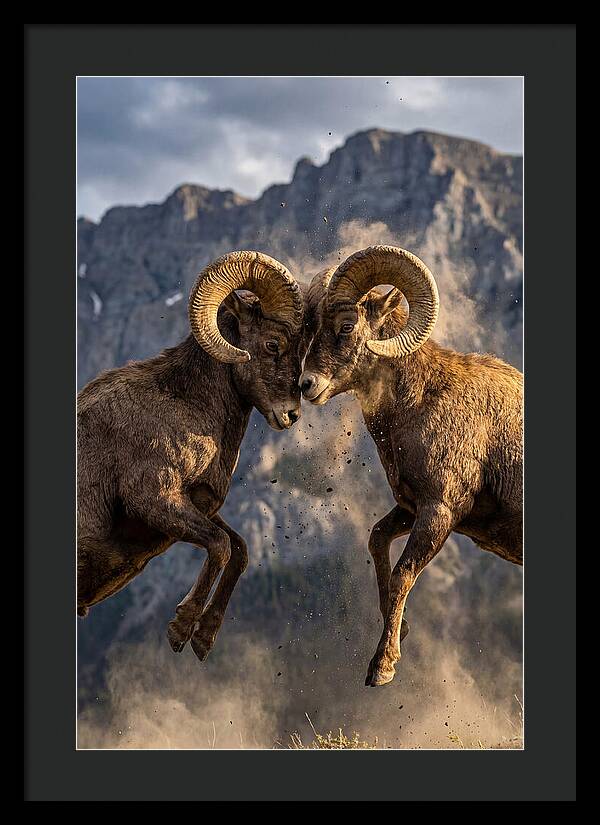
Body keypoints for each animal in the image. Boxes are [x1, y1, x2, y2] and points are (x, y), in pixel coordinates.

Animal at [77, 251, 306, 662]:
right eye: (272, 344)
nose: (291, 414)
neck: (185, 404)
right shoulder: (154, 499)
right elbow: (219, 546)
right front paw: (181, 629)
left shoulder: (197, 506)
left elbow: (239, 549)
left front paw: (203, 639)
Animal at [300, 245, 523, 687]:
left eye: (347, 325)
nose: (306, 385)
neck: (421, 402)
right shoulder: (409, 508)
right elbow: (377, 541)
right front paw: (399, 630)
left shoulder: (439, 512)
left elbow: (404, 574)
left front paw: (382, 667)